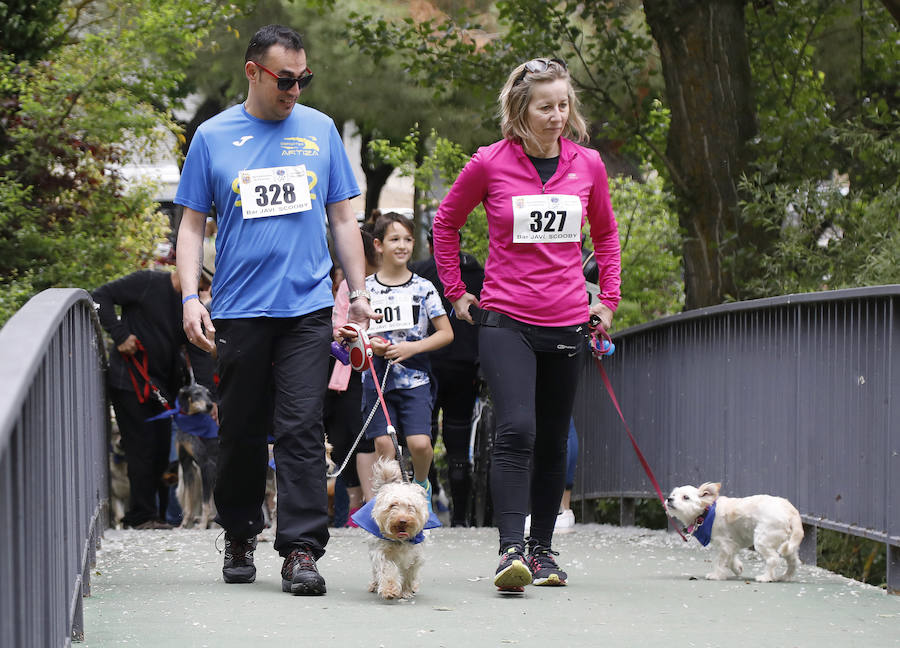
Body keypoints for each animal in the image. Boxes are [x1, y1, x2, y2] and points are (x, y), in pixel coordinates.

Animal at [664, 480, 804, 584]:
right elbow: (731, 559)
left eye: (685, 497)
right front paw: (738, 568)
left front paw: (716, 575)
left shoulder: (724, 545)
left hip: (762, 541)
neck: (706, 513)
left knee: (773, 559)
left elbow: (719, 561)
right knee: (793, 562)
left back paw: (766, 577)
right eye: (674, 495)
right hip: (787, 545)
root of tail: (791, 511)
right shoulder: (731, 544)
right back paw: (786, 577)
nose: (669, 499)